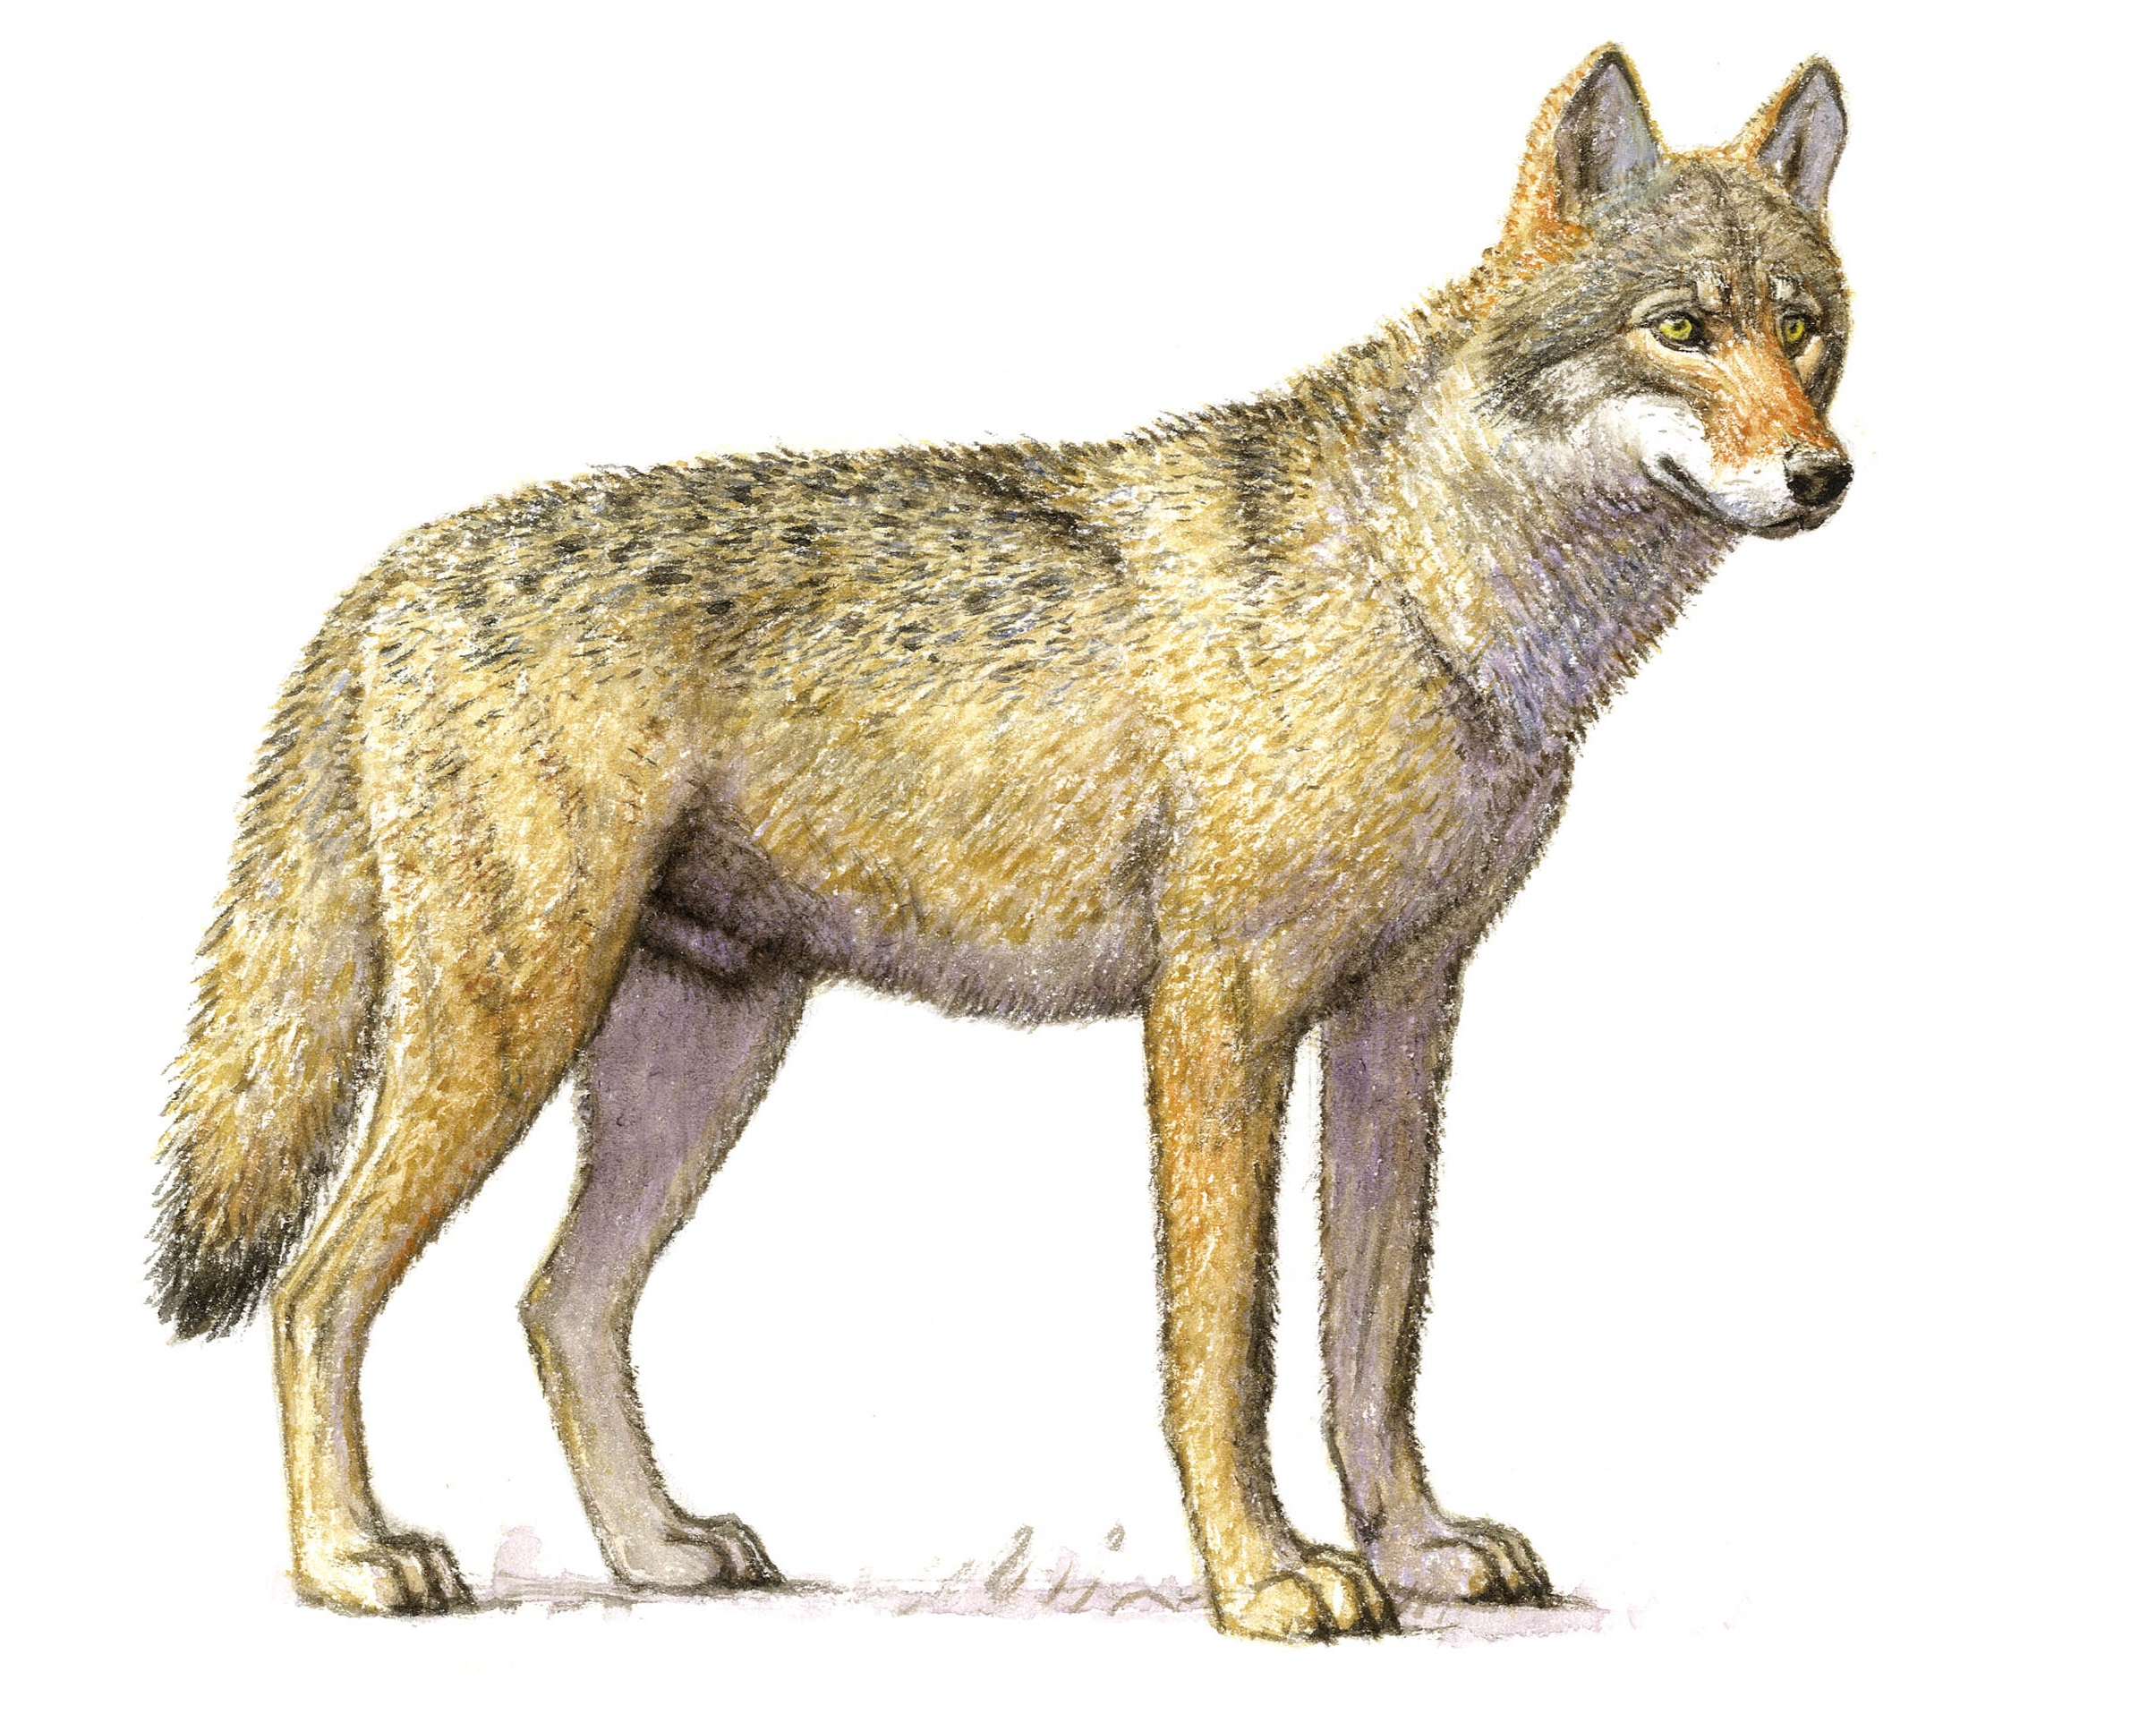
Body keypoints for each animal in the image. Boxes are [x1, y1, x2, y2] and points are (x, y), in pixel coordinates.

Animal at [154, 47, 1851, 1639]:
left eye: (1805, 329)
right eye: (1679, 329)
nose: (1821, 476)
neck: (1426, 583)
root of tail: (396, 571)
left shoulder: (1398, 1019)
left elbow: (1369, 1343)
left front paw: (1415, 1550)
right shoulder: (1220, 1015)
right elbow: (1223, 1349)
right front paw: (1263, 1579)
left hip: (692, 1066)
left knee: (558, 1305)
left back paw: (656, 1550)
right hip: (510, 1042)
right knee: (316, 1290)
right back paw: (350, 1561)